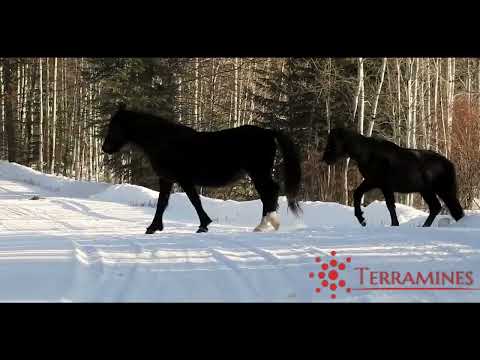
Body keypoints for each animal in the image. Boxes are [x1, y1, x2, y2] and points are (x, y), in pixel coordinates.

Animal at [102, 104, 302, 233]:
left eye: (115, 126)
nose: (105, 148)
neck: (164, 141)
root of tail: (268, 132)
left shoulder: (184, 179)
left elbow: (194, 201)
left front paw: (204, 225)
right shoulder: (167, 179)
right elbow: (162, 203)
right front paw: (153, 227)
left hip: (258, 172)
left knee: (270, 192)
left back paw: (265, 224)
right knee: (269, 193)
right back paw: (267, 224)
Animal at [322, 128, 464, 226]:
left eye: (333, 142)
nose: (325, 158)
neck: (365, 154)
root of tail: (449, 164)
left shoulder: (384, 185)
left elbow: (390, 205)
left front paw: (394, 224)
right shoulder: (372, 181)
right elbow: (357, 194)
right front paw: (362, 219)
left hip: (440, 190)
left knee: (449, 209)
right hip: (427, 190)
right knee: (439, 208)